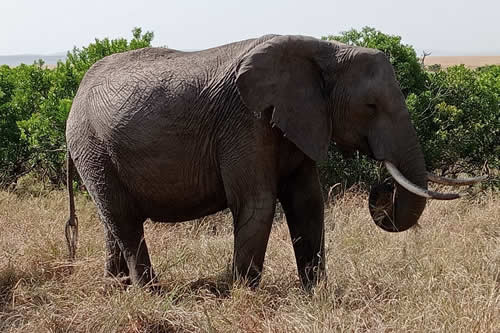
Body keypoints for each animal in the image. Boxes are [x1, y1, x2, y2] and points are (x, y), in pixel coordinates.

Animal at [63, 33, 480, 288]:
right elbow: (257, 203)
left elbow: (308, 203)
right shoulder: (245, 120)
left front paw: (315, 294)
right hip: (91, 145)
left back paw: (117, 289)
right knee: (123, 220)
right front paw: (239, 296)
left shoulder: (297, 119)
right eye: (371, 106)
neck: (324, 50)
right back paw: (150, 292)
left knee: (114, 220)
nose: (381, 187)